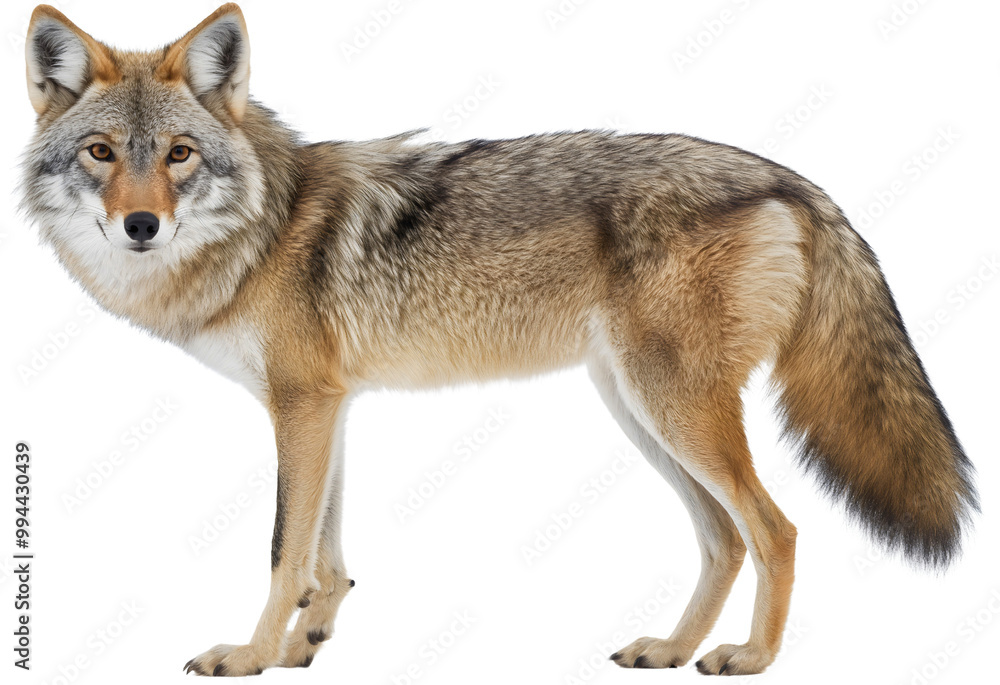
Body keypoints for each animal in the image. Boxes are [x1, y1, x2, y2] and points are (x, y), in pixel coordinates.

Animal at [21, 3, 979, 677]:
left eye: (179, 154)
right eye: (102, 152)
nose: (141, 225)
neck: (262, 228)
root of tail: (791, 178)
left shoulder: (302, 405)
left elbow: (284, 549)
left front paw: (252, 655)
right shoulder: (328, 406)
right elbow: (325, 554)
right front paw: (305, 644)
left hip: (673, 410)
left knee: (777, 530)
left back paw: (753, 659)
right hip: (640, 411)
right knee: (727, 538)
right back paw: (671, 649)